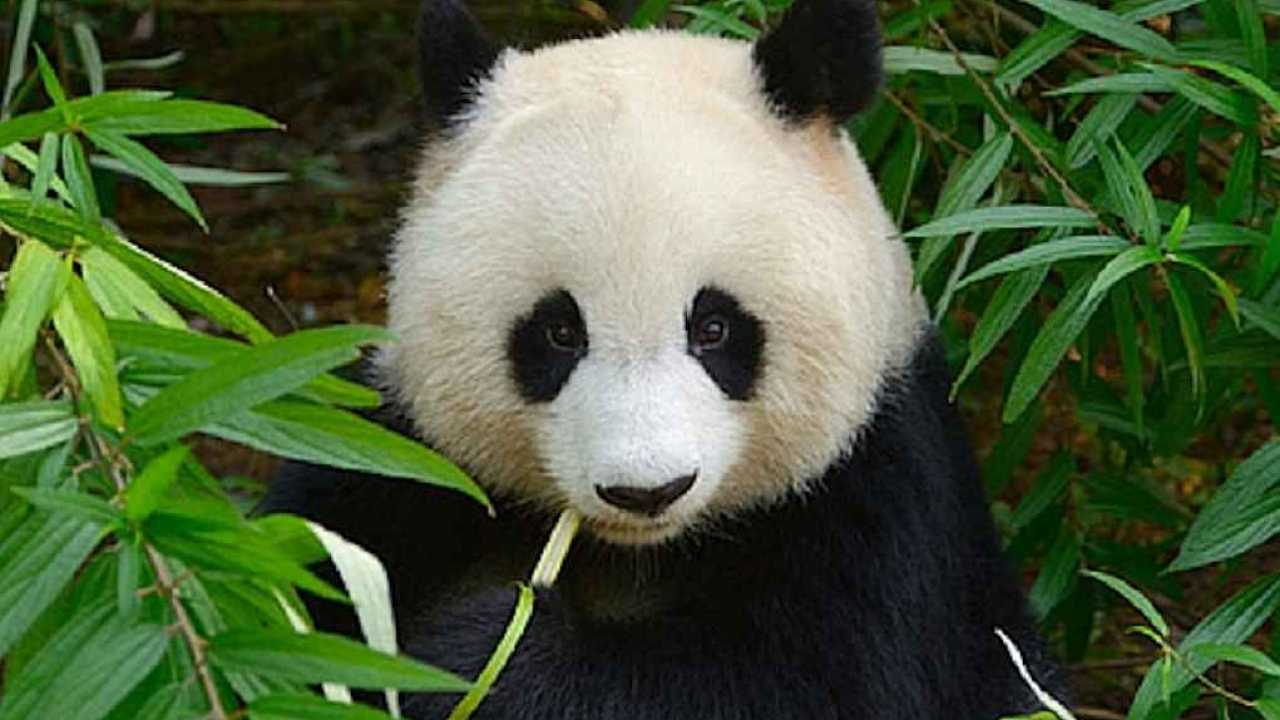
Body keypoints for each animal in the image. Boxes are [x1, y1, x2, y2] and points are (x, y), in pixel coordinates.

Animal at [260, 0, 1065, 717]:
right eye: (558, 333)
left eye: (714, 328)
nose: (646, 490)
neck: (637, 551)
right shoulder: (401, 459)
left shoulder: (879, 496)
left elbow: (800, 685)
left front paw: (481, 654)